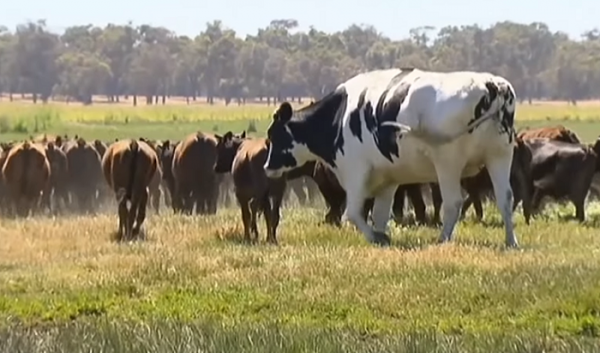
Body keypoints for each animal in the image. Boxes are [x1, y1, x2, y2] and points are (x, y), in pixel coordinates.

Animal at [262, 67, 520, 246]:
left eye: (273, 135)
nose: (267, 167)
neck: (339, 117)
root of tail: (492, 85)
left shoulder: (355, 171)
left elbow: (353, 213)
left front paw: (377, 237)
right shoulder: (388, 180)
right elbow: (379, 213)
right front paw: (381, 235)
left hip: (448, 163)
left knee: (453, 202)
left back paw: (443, 239)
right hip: (499, 156)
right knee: (505, 198)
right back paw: (511, 241)